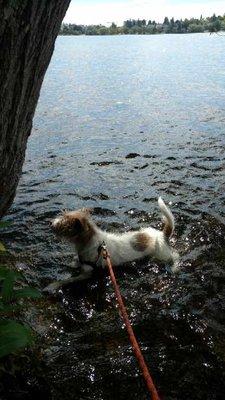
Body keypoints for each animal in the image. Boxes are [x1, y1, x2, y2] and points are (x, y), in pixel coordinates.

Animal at [45, 198, 179, 292]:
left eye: (64, 224)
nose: (50, 222)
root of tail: (162, 235)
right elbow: (75, 262)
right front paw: (71, 262)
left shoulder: (86, 274)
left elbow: (68, 280)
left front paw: (51, 286)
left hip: (162, 255)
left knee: (174, 256)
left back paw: (174, 266)